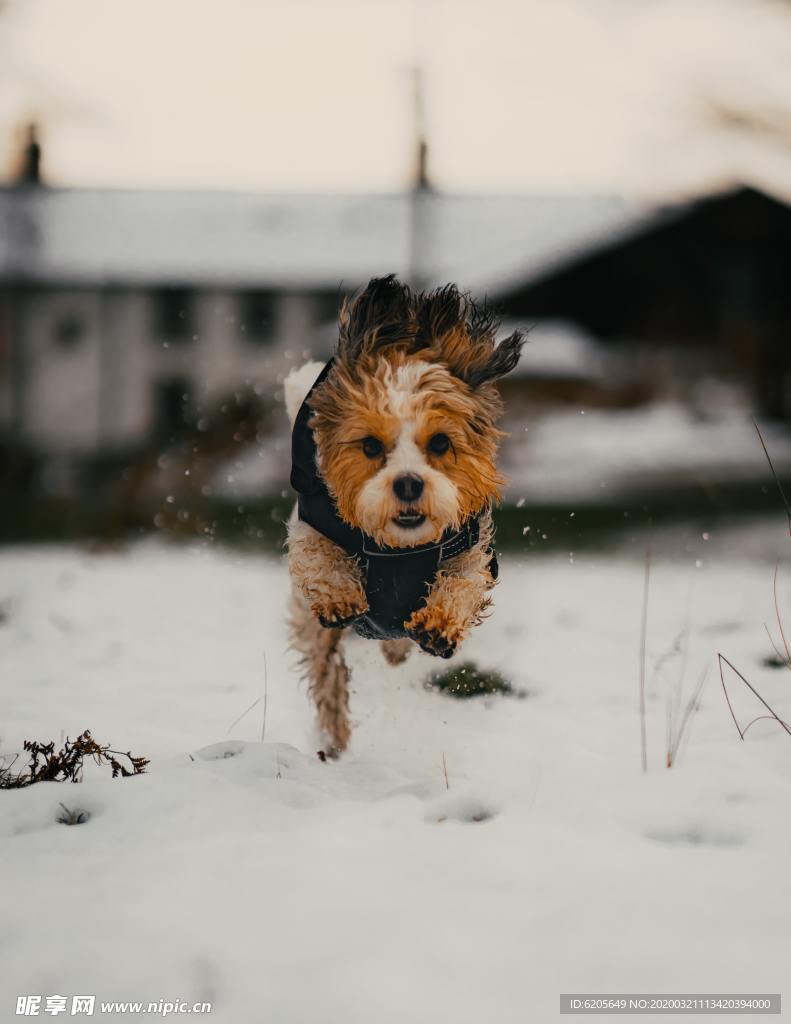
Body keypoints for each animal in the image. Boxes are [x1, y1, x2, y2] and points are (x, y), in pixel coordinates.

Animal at [284, 276, 524, 757]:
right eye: (371, 446)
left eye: (440, 443)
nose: (409, 483)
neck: (398, 550)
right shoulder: (310, 524)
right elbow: (318, 555)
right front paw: (339, 595)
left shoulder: (471, 545)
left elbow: (462, 583)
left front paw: (439, 625)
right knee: (328, 676)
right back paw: (334, 739)